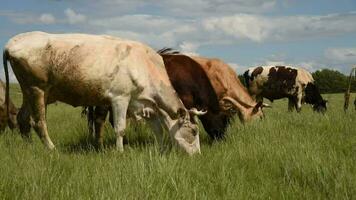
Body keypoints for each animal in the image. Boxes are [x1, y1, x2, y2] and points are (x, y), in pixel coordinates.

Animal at [2, 31, 204, 155]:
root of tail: (12, 42)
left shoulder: (146, 104)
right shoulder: (120, 98)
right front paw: (120, 152)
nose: (198, 155)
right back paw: (51, 149)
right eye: (194, 131)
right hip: (37, 90)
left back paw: (29, 147)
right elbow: (120, 128)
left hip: (29, 92)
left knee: (22, 118)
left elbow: (158, 130)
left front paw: (160, 150)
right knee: (39, 122)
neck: (145, 65)